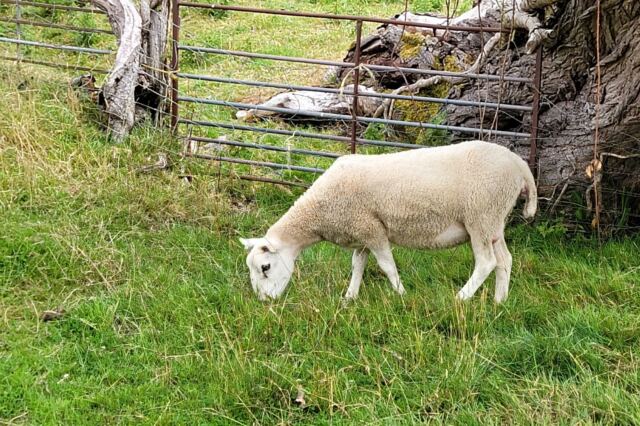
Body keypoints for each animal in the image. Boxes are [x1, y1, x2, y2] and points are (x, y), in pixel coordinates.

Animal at [240, 140, 537, 303]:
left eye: (265, 267)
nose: (264, 301)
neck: (319, 210)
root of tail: (520, 165)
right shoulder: (361, 231)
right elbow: (357, 265)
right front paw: (350, 297)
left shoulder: (373, 229)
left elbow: (387, 266)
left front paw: (401, 294)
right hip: (494, 221)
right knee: (504, 260)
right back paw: (499, 301)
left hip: (481, 216)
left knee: (486, 262)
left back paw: (461, 298)